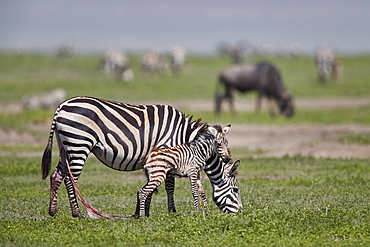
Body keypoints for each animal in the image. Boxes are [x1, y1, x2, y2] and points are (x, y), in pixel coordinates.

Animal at [41, 96, 243, 218]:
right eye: (236, 190)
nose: (241, 212)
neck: (183, 135)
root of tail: (61, 106)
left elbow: (153, 186)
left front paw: (141, 211)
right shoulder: (168, 153)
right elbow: (169, 186)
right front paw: (171, 211)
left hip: (66, 147)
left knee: (57, 175)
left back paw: (53, 211)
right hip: (79, 144)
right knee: (71, 179)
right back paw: (77, 213)